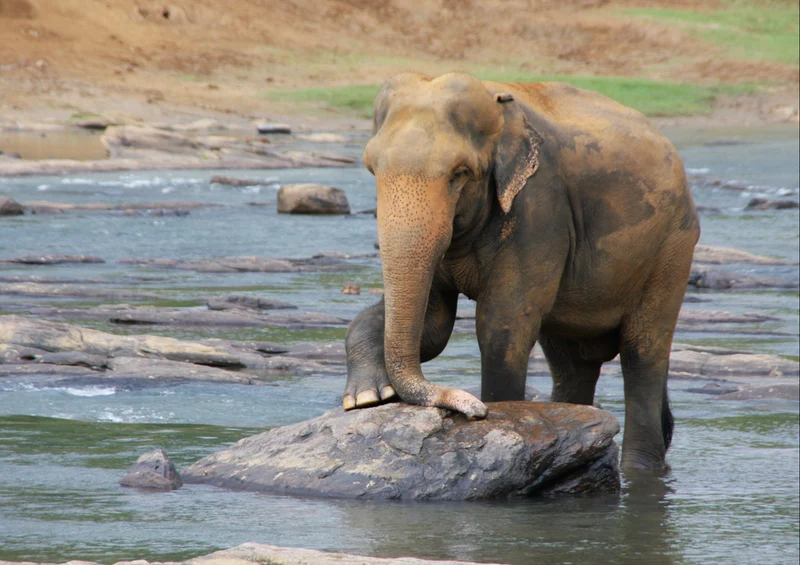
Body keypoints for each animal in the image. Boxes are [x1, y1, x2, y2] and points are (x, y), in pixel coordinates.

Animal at [343, 72, 700, 471]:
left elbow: (503, 326)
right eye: (372, 168)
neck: (496, 101)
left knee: (643, 354)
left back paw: (638, 469)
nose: (473, 409)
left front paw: (495, 412)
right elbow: (434, 325)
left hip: (671, 250)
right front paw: (368, 397)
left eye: (459, 174)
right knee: (573, 362)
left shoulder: (540, 208)